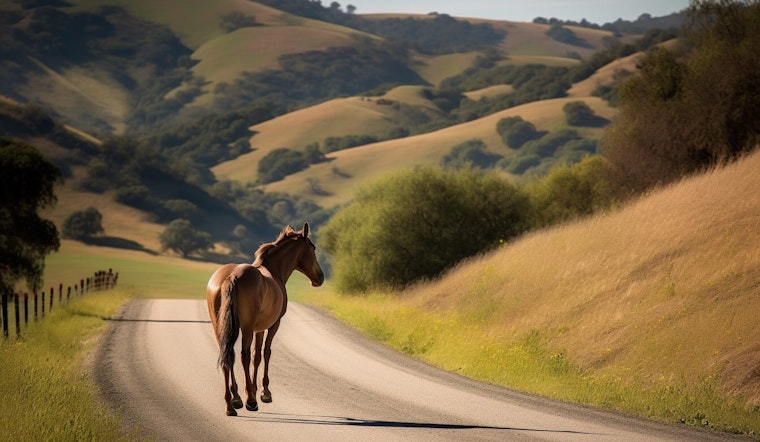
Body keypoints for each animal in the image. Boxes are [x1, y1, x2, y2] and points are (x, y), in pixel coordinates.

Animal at [205, 223, 324, 416]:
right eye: (312, 248)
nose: (320, 277)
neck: (274, 270)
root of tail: (231, 276)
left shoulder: (258, 328)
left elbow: (257, 356)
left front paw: (252, 391)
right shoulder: (273, 325)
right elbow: (264, 353)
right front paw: (263, 392)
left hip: (220, 327)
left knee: (227, 355)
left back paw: (232, 402)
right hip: (245, 329)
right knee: (243, 356)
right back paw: (250, 402)